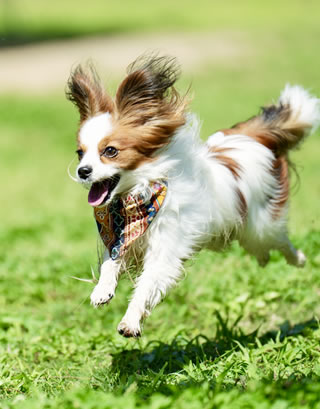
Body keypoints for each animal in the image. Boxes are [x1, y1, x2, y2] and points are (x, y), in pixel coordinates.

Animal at [65, 54, 320, 336]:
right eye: (80, 153)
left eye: (110, 151)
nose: (83, 171)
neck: (139, 196)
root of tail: (249, 137)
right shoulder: (123, 236)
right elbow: (110, 262)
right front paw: (103, 289)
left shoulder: (164, 250)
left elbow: (146, 285)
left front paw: (130, 321)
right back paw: (266, 259)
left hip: (261, 227)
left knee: (281, 241)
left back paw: (299, 258)